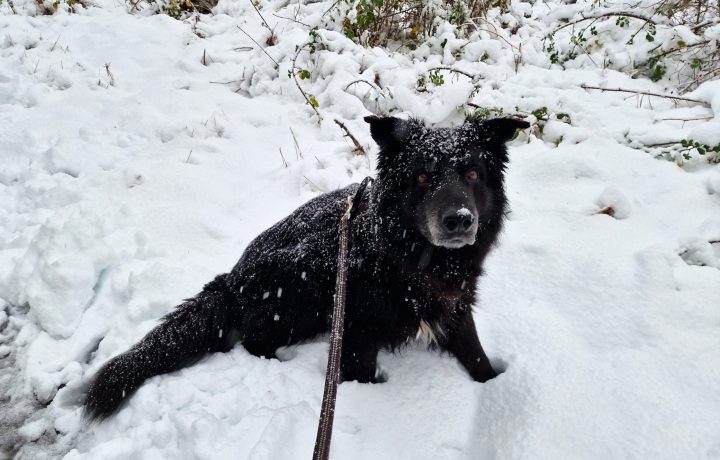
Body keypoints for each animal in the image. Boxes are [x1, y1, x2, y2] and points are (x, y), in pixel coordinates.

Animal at [84, 115, 528, 420]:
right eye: (421, 177)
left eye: (472, 173)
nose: (459, 220)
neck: (410, 256)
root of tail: (232, 280)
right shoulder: (357, 333)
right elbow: (360, 376)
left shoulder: (454, 308)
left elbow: (477, 357)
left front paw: (494, 390)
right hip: (302, 283)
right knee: (254, 340)